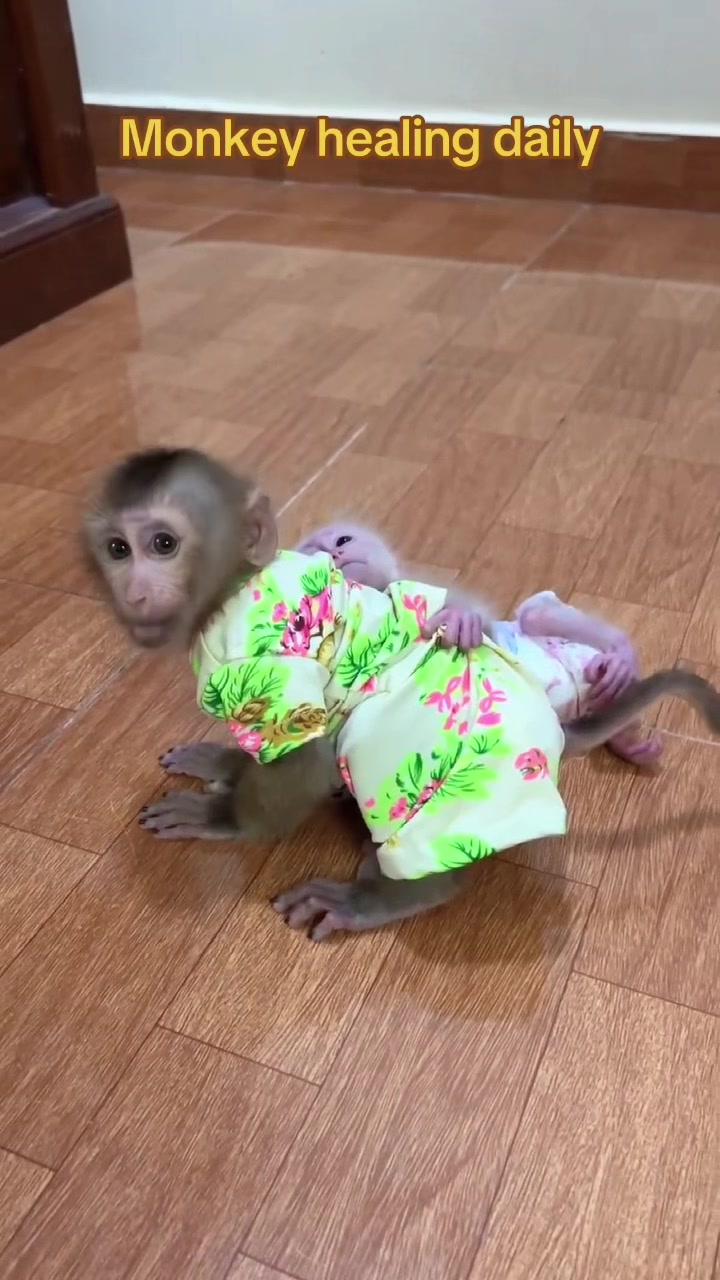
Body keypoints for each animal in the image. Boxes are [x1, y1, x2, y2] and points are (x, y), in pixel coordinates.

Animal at [296, 523, 662, 767]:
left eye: (343, 540)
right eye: (320, 552)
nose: (337, 552)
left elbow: (477, 625)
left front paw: (461, 623)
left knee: (537, 614)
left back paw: (621, 660)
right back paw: (626, 738)